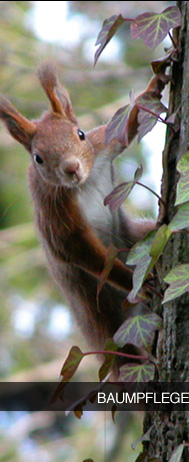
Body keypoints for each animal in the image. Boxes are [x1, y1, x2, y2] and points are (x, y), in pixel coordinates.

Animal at [0, 62, 165, 354]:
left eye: (80, 134)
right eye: (38, 158)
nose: (72, 168)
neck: (84, 184)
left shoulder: (101, 145)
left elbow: (125, 128)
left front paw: (155, 85)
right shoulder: (54, 212)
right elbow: (81, 251)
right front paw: (139, 284)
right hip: (107, 323)